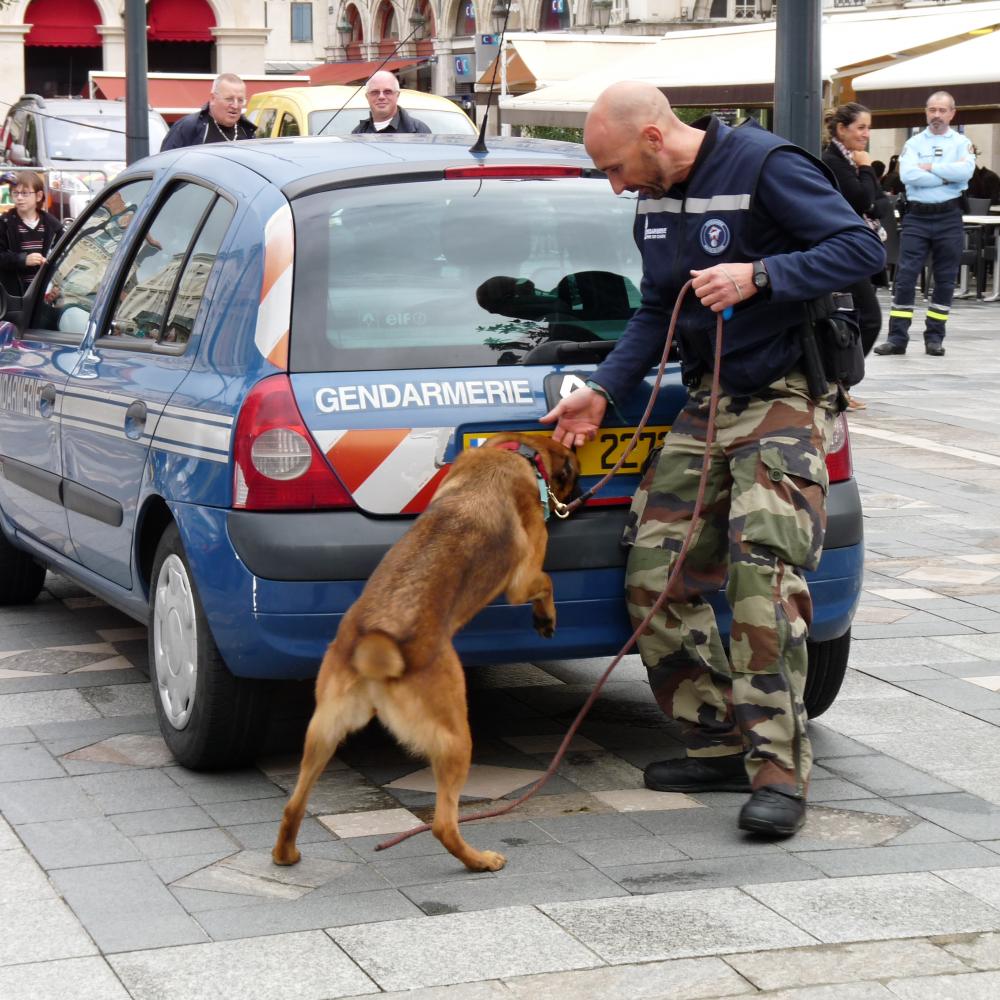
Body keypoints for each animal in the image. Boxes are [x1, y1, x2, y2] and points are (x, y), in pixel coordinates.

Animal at [272, 434, 580, 872]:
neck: (512, 451)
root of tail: (376, 645)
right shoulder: (522, 580)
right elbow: (546, 583)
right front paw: (545, 618)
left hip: (322, 733)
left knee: (294, 805)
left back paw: (286, 853)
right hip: (455, 739)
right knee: (443, 825)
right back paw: (480, 860)